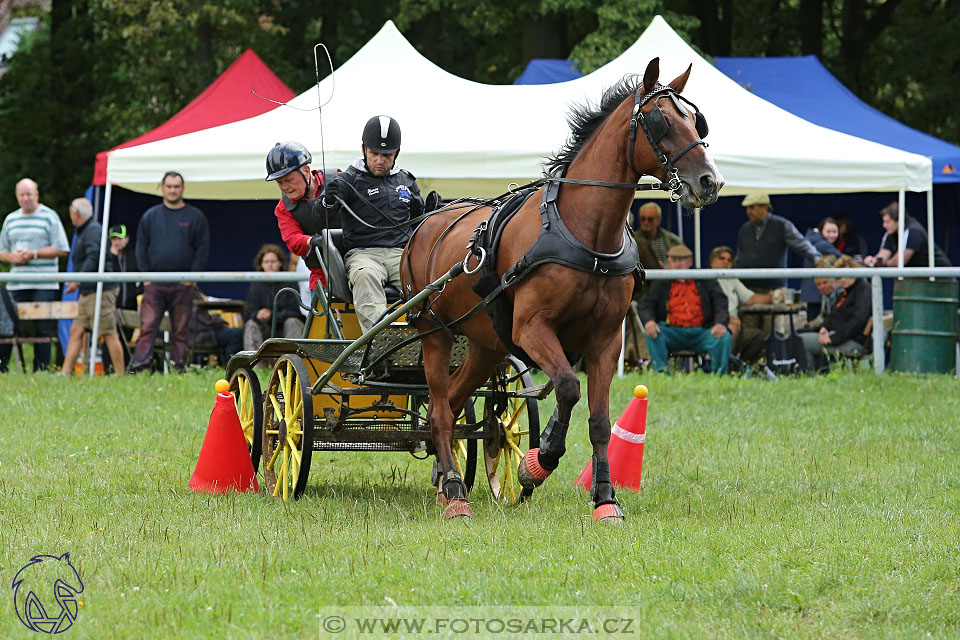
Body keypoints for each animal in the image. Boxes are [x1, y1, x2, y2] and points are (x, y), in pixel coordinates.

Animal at [402, 58, 724, 520]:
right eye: (659, 121)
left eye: (695, 121)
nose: (710, 182)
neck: (585, 233)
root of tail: (428, 218)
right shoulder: (531, 329)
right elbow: (569, 386)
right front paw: (538, 463)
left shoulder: (606, 339)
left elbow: (601, 420)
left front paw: (605, 499)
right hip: (434, 333)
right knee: (443, 412)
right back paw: (455, 493)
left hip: (486, 344)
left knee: (454, 400)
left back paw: (448, 480)